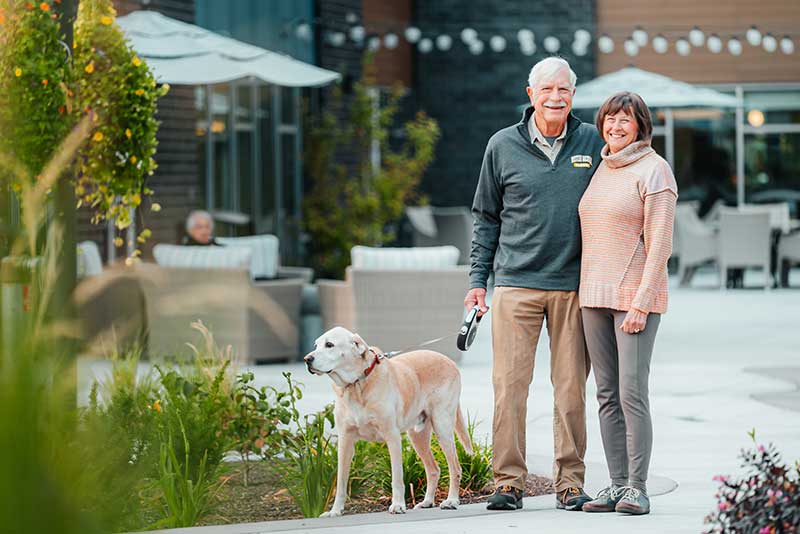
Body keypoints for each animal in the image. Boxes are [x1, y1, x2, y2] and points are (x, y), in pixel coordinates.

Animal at [304, 328, 472, 516]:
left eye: (329, 344)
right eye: (316, 345)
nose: (307, 359)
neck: (357, 385)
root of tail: (450, 361)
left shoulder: (392, 437)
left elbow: (397, 477)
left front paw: (398, 504)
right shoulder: (345, 441)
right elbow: (340, 481)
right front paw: (335, 511)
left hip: (442, 427)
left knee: (455, 468)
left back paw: (451, 501)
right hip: (417, 436)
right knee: (433, 470)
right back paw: (427, 502)